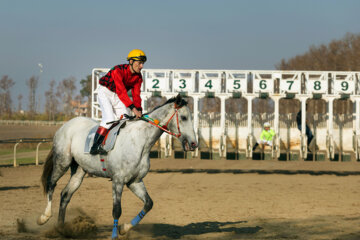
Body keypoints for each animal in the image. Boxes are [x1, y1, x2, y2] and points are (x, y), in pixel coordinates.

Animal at [38, 94, 198, 239]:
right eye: (184, 117)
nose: (194, 144)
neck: (140, 142)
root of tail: (66, 124)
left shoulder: (134, 181)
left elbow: (148, 204)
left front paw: (124, 228)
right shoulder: (118, 181)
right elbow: (117, 210)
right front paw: (114, 235)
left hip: (79, 171)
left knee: (65, 194)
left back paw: (61, 229)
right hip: (62, 162)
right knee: (51, 184)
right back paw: (44, 217)